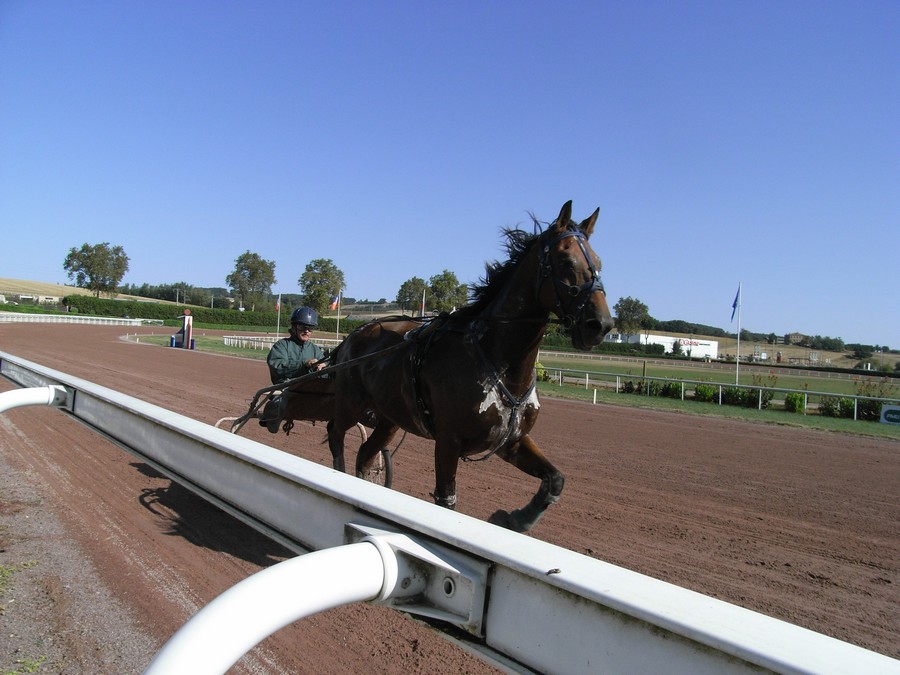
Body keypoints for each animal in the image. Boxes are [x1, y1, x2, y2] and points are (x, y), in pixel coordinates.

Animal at [326, 201, 616, 532]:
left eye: (598, 261)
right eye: (566, 258)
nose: (601, 324)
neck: (497, 362)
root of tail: (356, 333)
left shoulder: (512, 441)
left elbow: (555, 479)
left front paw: (516, 519)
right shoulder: (448, 442)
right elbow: (446, 500)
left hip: (389, 418)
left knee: (365, 454)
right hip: (351, 403)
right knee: (335, 433)